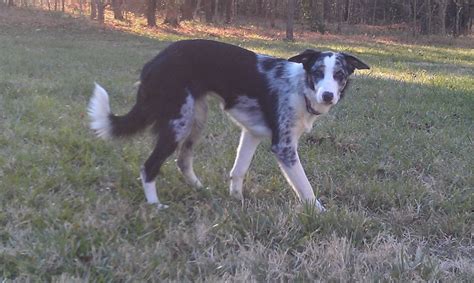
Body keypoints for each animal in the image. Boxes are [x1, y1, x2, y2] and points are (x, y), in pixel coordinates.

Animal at [89, 40, 370, 213]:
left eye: (339, 75)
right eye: (317, 72)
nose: (328, 96)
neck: (301, 87)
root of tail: (153, 62)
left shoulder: (252, 134)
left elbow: (238, 170)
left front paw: (237, 199)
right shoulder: (284, 147)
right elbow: (306, 188)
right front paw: (321, 213)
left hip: (196, 119)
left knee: (183, 161)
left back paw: (200, 189)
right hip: (179, 123)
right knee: (149, 167)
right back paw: (155, 205)